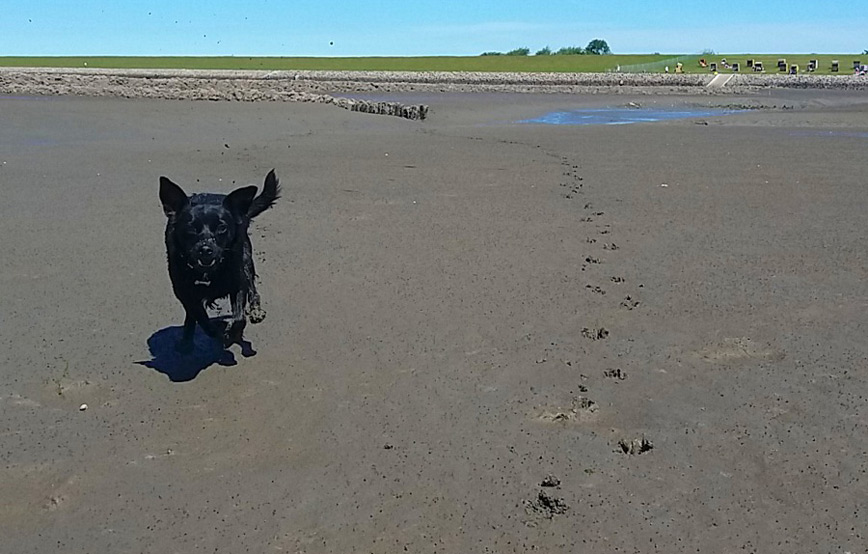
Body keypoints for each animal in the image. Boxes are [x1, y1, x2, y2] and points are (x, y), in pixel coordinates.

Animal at [156, 168, 278, 352]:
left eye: (222, 227)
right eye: (190, 228)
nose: (206, 249)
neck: (208, 273)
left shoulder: (238, 284)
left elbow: (239, 318)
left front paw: (231, 334)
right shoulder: (183, 291)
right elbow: (199, 315)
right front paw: (216, 332)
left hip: (246, 261)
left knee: (253, 289)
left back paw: (255, 310)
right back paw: (187, 341)